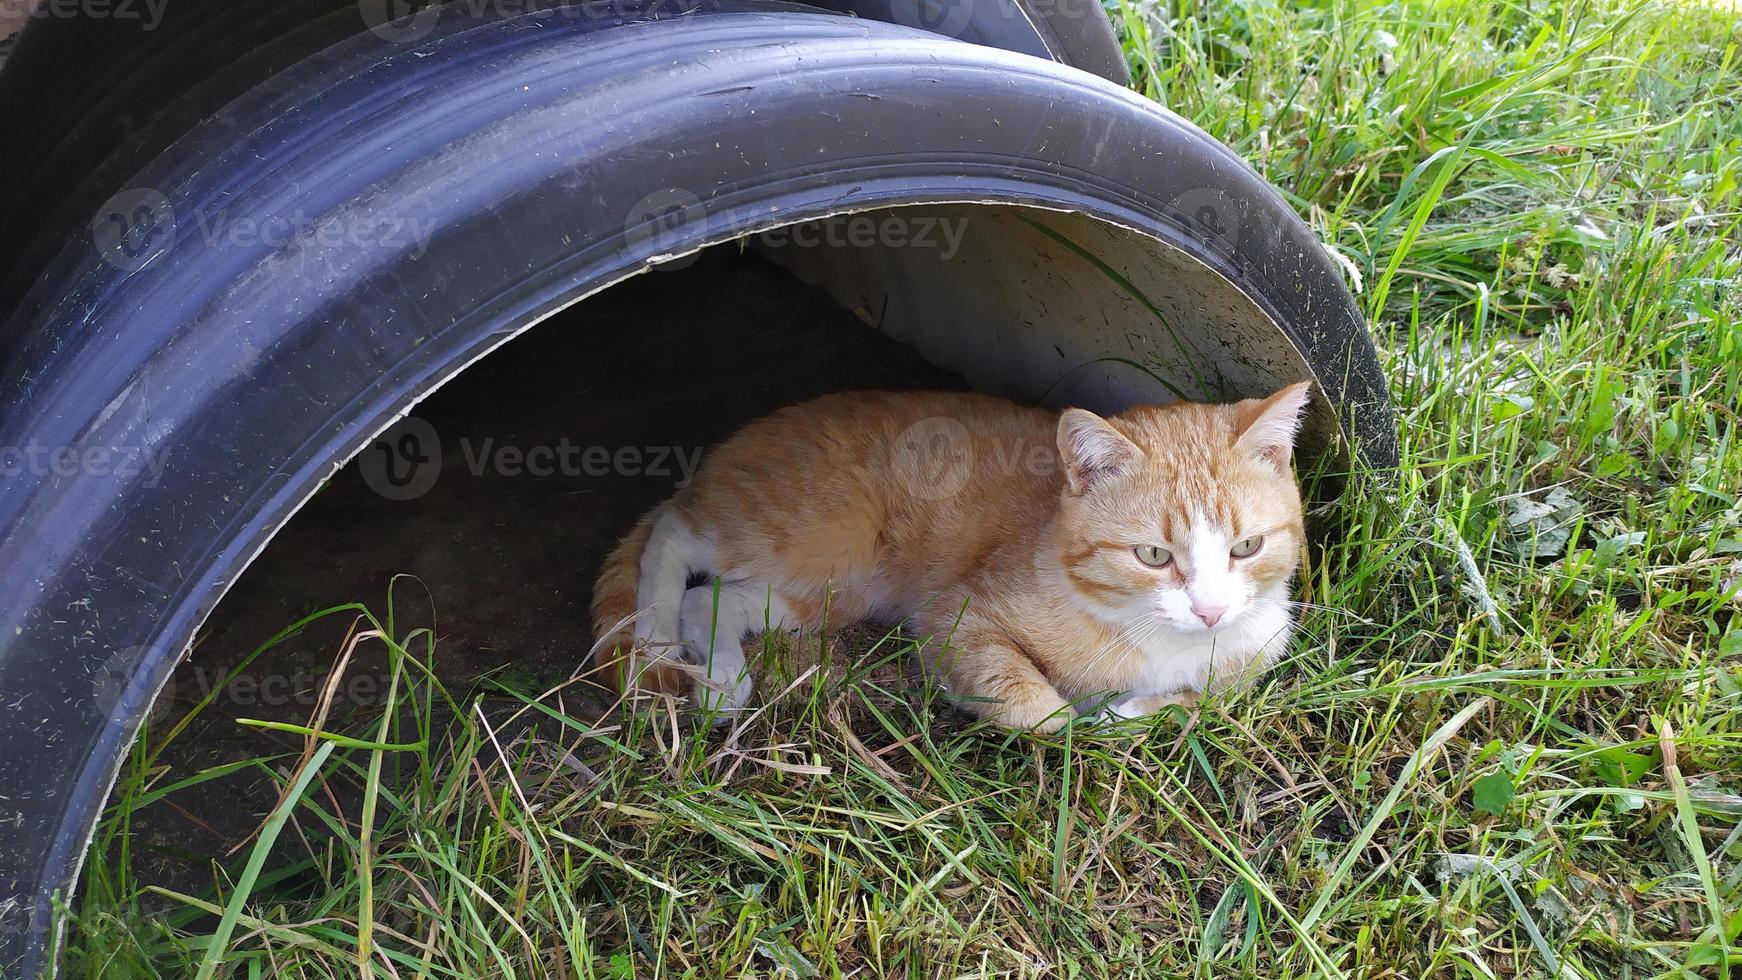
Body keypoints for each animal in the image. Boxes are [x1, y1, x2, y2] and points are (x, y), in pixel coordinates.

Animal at [588, 388, 1309, 731]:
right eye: (1154, 554)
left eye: (1247, 547)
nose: (1210, 611)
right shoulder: (959, 617)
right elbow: (1033, 706)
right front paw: (1077, 722)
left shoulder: (1247, 664)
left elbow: (1187, 705)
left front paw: (1125, 713)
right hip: (818, 532)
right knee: (672, 536)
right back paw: (655, 638)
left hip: (826, 589)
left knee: (712, 597)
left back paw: (722, 676)